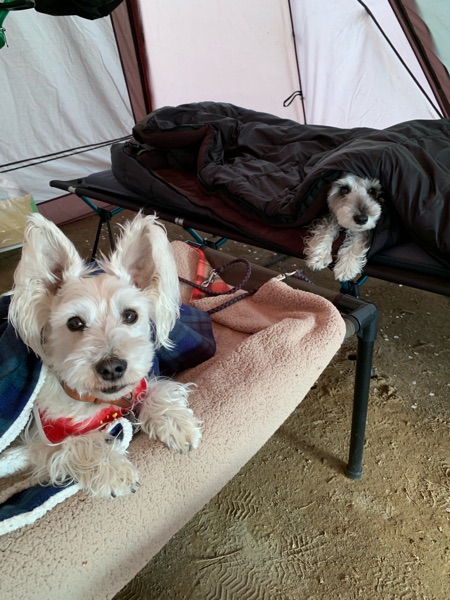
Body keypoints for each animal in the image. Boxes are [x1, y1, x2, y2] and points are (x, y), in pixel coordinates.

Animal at [2, 213, 202, 497]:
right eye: (74, 322)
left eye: (130, 315)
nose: (112, 368)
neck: (99, 402)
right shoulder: (46, 439)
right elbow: (78, 445)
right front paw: (114, 470)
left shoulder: (137, 385)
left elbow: (156, 390)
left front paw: (177, 424)